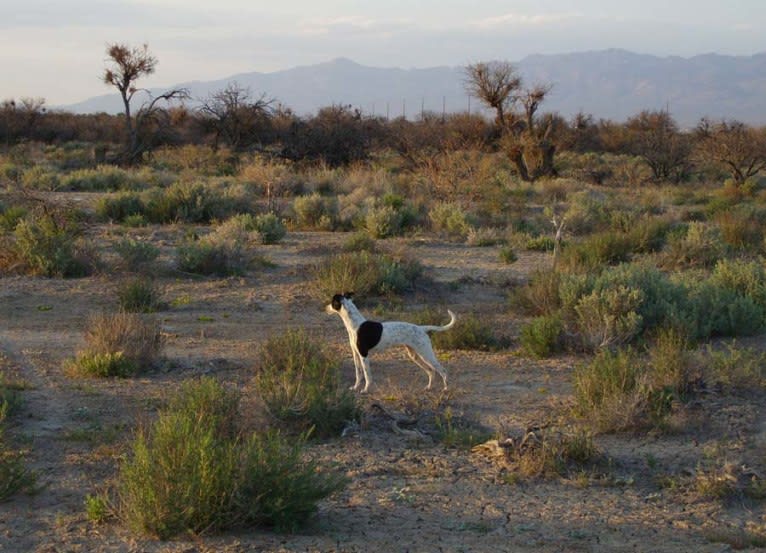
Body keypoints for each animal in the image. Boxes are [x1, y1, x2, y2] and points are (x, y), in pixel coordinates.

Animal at [324, 294, 456, 392]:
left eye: (332, 302)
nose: (325, 308)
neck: (355, 324)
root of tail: (421, 328)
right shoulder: (355, 354)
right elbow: (358, 374)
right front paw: (355, 387)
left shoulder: (364, 355)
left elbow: (367, 375)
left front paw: (365, 389)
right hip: (415, 356)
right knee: (431, 371)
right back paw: (428, 387)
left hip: (426, 354)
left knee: (442, 370)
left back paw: (445, 389)